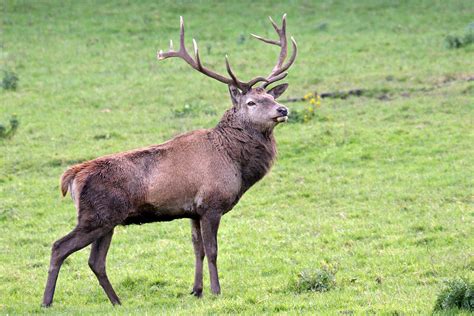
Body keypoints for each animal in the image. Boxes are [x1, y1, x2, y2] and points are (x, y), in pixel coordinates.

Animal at [43, 14, 296, 306]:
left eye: (270, 97)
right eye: (251, 102)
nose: (283, 109)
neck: (235, 164)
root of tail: (72, 176)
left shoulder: (193, 211)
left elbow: (197, 249)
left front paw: (197, 290)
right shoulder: (211, 203)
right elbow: (212, 250)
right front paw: (216, 291)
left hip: (107, 220)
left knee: (96, 261)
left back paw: (117, 301)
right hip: (96, 216)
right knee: (59, 247)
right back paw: (47, 301)